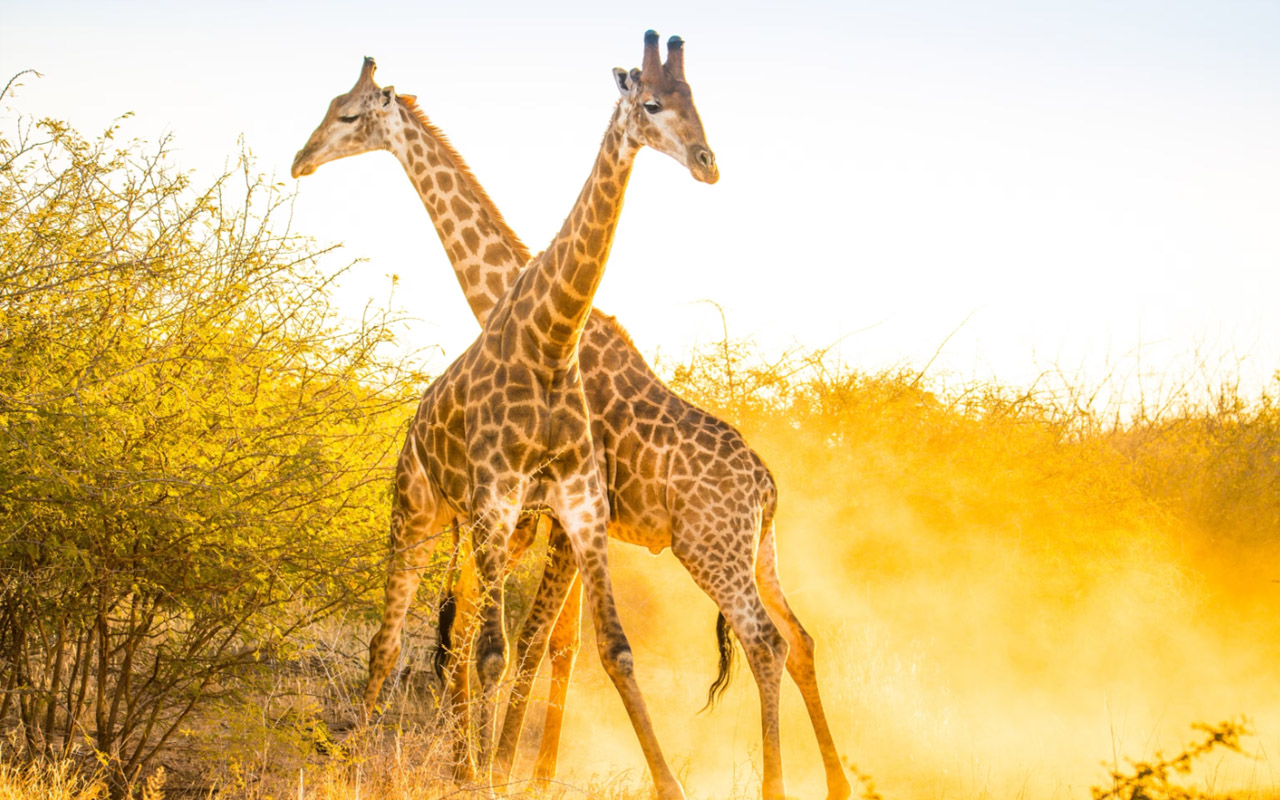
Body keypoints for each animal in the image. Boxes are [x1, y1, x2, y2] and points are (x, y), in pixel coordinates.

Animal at [289, 37, 849, 800]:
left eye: (347, 115)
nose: (301, 158)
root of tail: (767, 487)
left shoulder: (565, 513)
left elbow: (540, 639)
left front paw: (509, 768)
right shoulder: (554, 516)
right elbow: (554, 640)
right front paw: (518, 768)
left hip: (712, 550)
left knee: (765, 639)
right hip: (760, 552)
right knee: (802, 639)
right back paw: (843, 782)